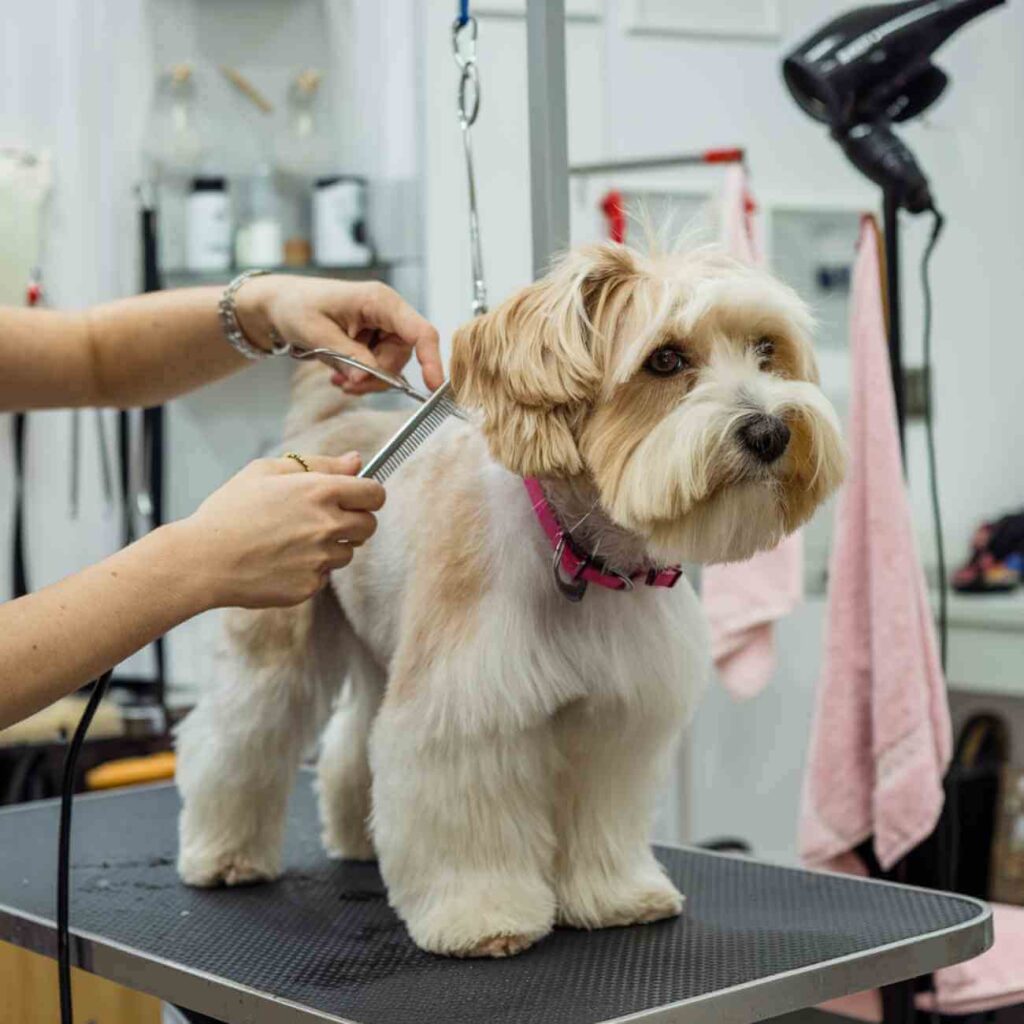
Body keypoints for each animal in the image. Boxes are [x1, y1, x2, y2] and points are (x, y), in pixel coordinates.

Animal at [178, 241, 847, 958]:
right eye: (665, 359)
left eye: (766, 348)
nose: (771, 431)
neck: (580, 554)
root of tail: (327, 426)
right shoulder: (464, 709)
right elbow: (466, 821)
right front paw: (482, 917)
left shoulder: (614, 719)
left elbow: (600, 817)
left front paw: (614, 896)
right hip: (277, 651)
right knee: (237, 737)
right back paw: (223, 854)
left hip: (381, 649)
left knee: (349, 743)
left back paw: (357, 838)